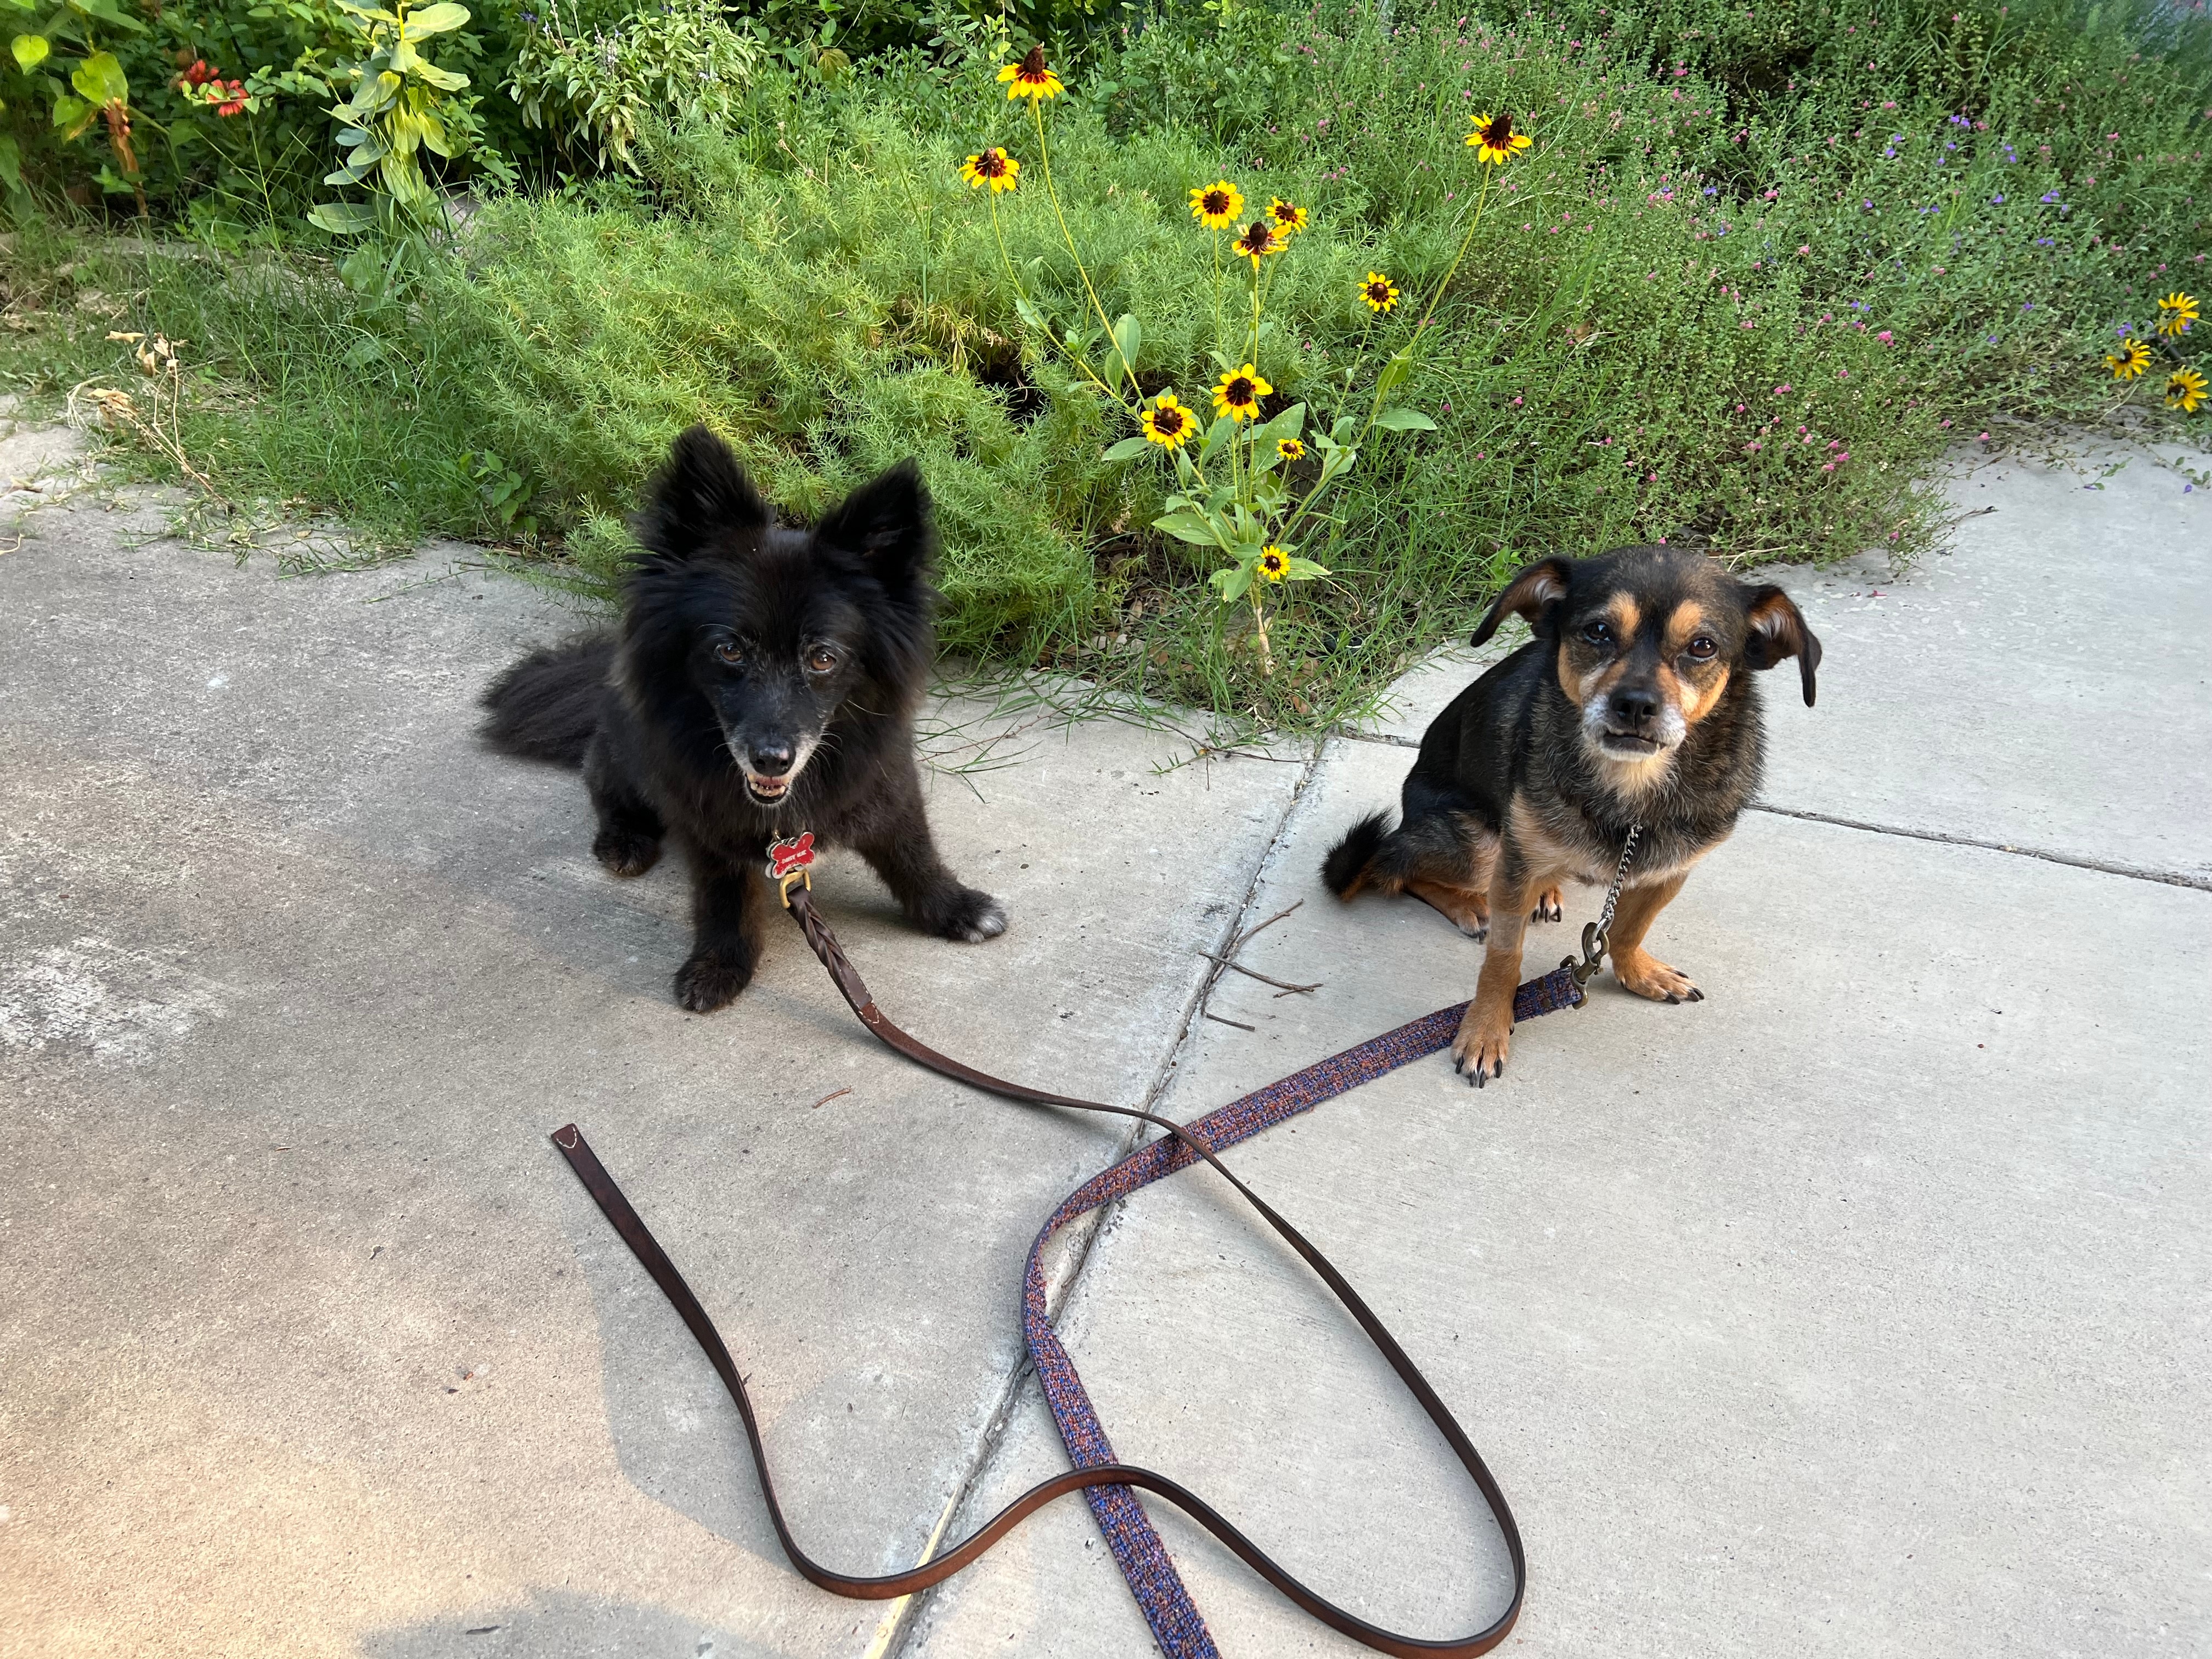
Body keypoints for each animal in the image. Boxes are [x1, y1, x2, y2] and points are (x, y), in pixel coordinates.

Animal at [489, 425, 1008, 1013]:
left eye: (822, 658)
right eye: (730, 650)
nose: (771, 759)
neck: (782, 812)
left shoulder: (885, 783)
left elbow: (913, 853)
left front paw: (955, 909)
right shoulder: (705, 820)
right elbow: (724, 897)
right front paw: (720, 965)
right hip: (626, 756)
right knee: (602, 784)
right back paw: (623, 840)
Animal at [1327, 548, 1814, 1092]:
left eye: (1703, 646)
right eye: (1598, 631)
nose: (1635, 705)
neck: (1631, 792)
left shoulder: (1671, 871)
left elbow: (1629, 929)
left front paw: (1638, 972)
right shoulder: (1513, 871)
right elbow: (1503, 961)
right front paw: (1485, 1030)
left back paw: (1548, 889)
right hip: (1480, 846)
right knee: (1395, 865)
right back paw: (1470, 904)